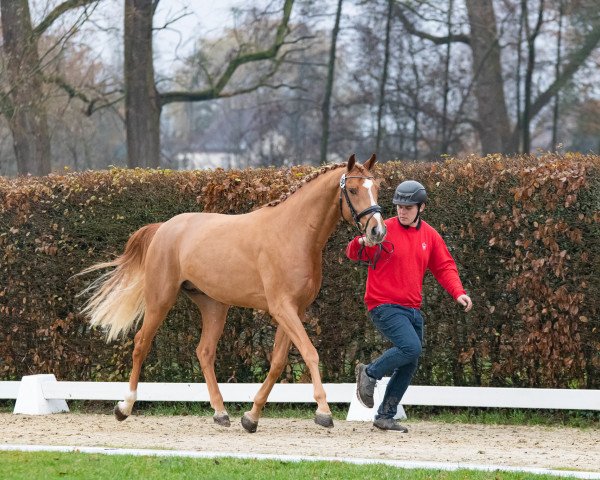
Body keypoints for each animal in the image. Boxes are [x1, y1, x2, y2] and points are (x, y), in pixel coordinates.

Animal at [81, 154, 384, 432]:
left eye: (377, 187)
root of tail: (164, 227)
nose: (377, 231)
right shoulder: (282, 308)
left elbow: (277, 362)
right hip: (160, 299)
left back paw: (220, 412)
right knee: (141, 343)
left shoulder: (294, 310)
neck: (292, 233)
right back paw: (124, 407)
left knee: (204, 352)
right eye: (353, 189)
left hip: (214, 306)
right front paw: (323, 411)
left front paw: (251, 417)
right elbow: (310, 353)